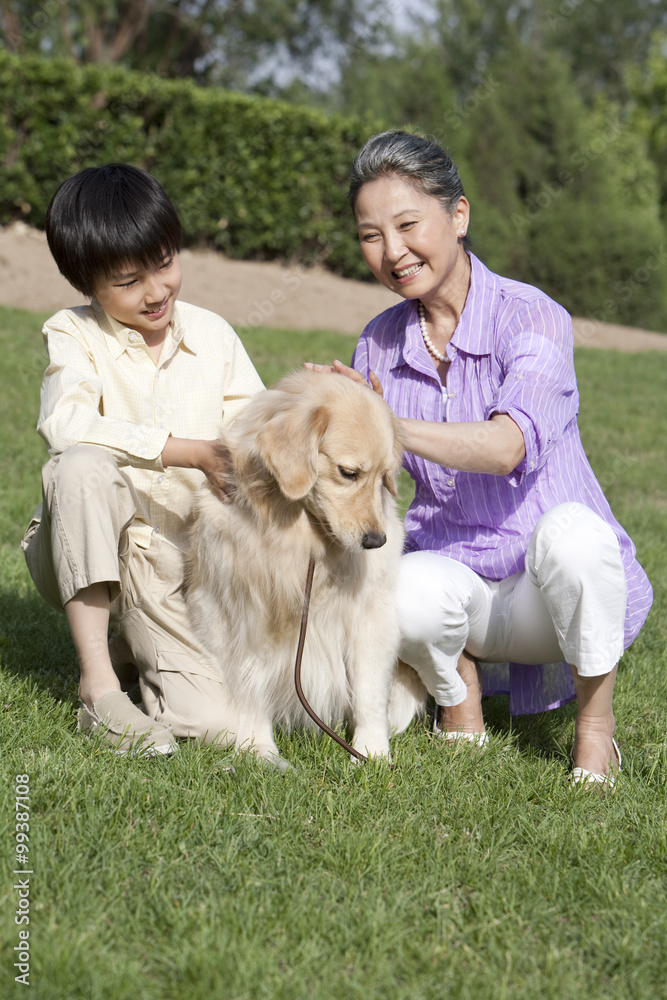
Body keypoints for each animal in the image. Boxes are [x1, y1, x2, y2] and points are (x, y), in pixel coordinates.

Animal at [187, 372, 428, 768]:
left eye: (384, 476)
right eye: (349, 473)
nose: (377, 541)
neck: (306, 541)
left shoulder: (370, 615)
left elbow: (368, 690)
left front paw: (372, 751)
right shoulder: (243, 609)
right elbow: (250, 682)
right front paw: (258, 749)